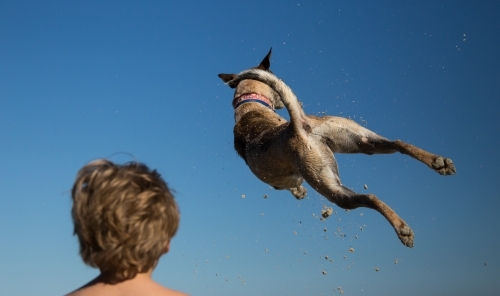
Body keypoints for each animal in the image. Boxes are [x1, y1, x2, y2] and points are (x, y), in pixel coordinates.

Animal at [217, 49, 456, 247]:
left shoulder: (280, 181)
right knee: (397, 144)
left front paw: (299, 192)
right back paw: (439, 163)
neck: (249, 106)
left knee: (368, 197)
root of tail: (298, 126)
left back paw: (402, 229)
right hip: (360, 141)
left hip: (329, 186)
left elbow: (290, 187)